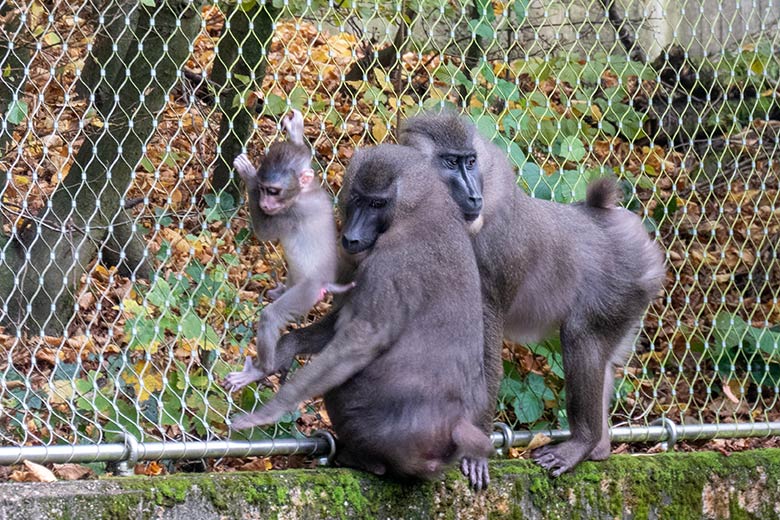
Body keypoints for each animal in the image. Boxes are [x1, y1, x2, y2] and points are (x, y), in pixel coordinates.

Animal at [221, 110, 352, 394]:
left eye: (273, 191)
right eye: (264, 190)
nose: (263, 202)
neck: (305, 193)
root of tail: (326, 284)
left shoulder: (291, 213)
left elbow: (265, 234)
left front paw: (248, 176)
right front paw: (295, 134)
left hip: (307, 292)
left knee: (272, 317)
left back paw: (262, 369)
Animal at [229, 144, 494, 486]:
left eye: (376, 204)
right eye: (357, 198)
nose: (351, 235)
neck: (418, 207)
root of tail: (451, 433)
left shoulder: (388, 264)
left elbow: (361, 338)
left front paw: (272, 409)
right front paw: (280, 354)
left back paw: (363, 460)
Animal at [402, 112, 664, 476]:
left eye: (471, 161)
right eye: (451, 162)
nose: (474, 196)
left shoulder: (488, 273)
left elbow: (485, 363)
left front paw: (473, 453)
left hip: (618, 292)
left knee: (583, 340)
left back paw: (581, 444)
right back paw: (599, 449)